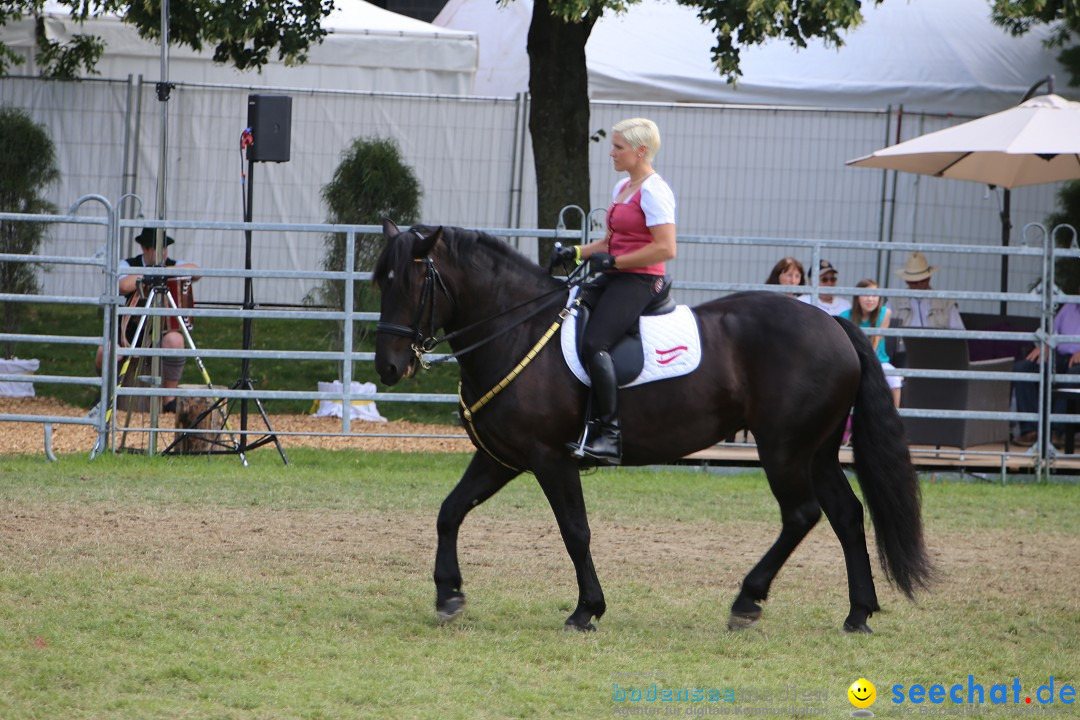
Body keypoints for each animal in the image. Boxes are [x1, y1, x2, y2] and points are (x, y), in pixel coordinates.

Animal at [375, 222, 933, 634]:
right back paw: (858, 613)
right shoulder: (502, 458)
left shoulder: (550, 459)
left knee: (802, 515)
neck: (519, 333)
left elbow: (575, 530)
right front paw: (448, 593)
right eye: (380, 280)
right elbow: (450, 511)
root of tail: (831, 323)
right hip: (816, 452)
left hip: (784, 449)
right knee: (846, 515)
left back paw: (747, 600)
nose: (388, 367)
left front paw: (587, 609)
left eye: (410, 282)